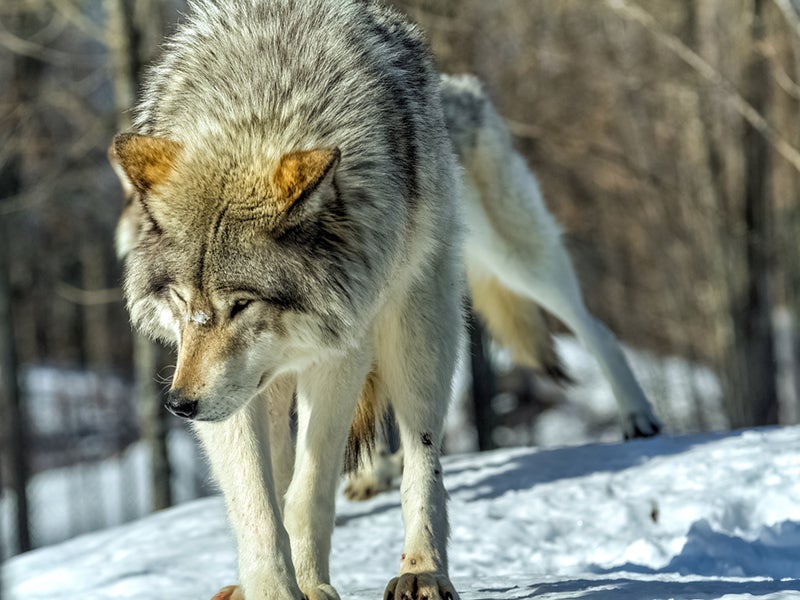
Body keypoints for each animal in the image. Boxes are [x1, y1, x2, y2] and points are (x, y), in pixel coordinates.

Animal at [111, 2, 664, 596]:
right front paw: (271, 585)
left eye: (240, 304)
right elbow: (260, 506)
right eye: (181, 299)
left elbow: (309, 492)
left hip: (470, 292)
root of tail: (459, 86)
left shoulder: (338, 352)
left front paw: (310, 583)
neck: (261, 109)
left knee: (573, 336)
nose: (178, 405)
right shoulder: (224, 385)